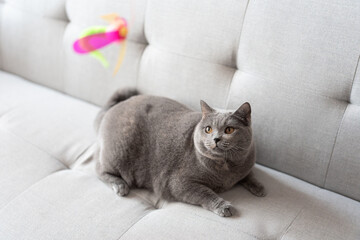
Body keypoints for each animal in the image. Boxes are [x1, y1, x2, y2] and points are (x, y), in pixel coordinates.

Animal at [95, 89, 264, 217]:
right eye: (208, 129)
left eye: (229, 130)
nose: (216, 139)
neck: (226, 169)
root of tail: (113, 108)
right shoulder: (179, 183)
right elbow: (205, 192)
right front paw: (224, 206)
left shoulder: (245, 162)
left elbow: (248, 174)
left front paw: (259, 187)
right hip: (119, 152)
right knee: (99, 170)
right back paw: (120, 186)